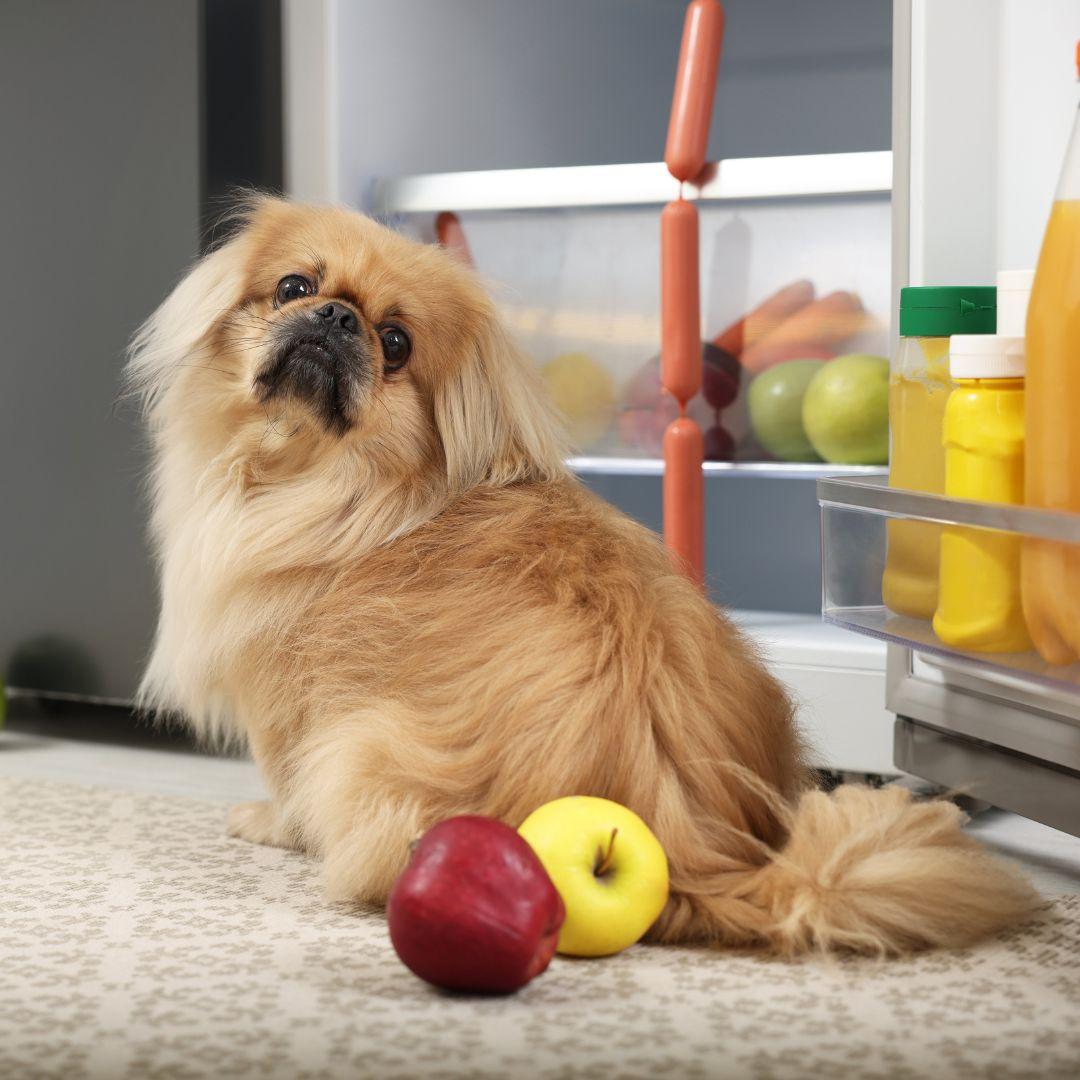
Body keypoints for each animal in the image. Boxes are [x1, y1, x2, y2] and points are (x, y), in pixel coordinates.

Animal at [126, 196, 1036, 954]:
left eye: (396, 343)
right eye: (293, 285)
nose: (334, 316)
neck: (337, 483)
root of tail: (691, 848)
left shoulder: (289, 692)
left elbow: (281, 778)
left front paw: (267, 822)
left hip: (354, 747)